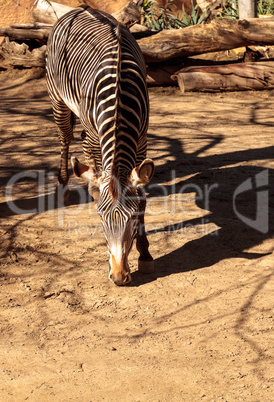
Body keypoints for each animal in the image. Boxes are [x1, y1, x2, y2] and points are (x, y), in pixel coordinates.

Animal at [46, 4, 155, 284]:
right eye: (101, 219)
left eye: (132, 218)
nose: (119, 277)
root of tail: (79, 8)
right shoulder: (99, 134)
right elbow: (96, 165)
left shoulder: (142, 139)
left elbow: (142, 196)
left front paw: (145, 254)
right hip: (59, 99)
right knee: (67, 138)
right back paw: (66, 186)